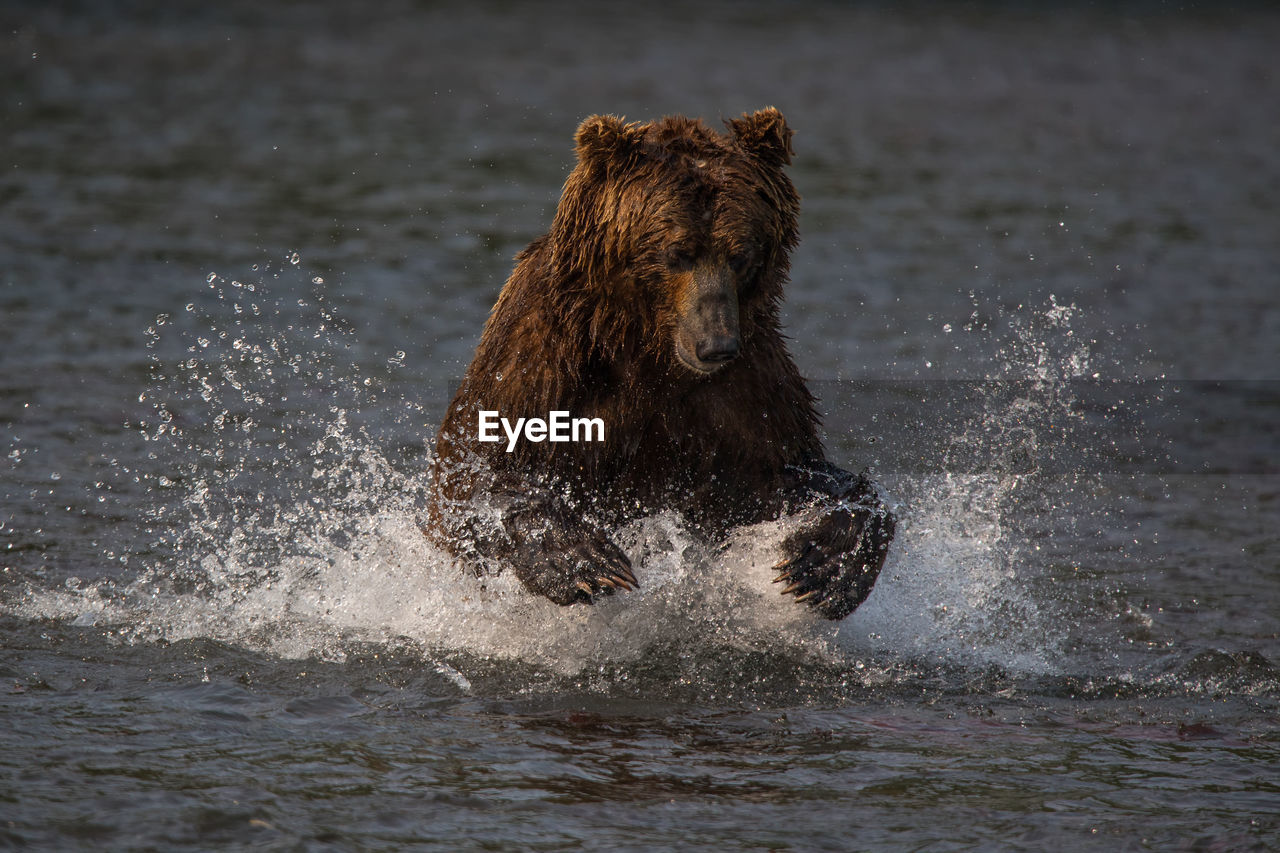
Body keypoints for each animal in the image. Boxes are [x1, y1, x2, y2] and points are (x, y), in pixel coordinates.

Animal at [424, 106, 896, 614]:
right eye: (678, 252)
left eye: (741, 254)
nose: (716, 344)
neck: (648, 352)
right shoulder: (537, 363)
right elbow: (473, 475)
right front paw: (584, 561)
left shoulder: (747, 390)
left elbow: (787, 475)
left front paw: (825, 562)